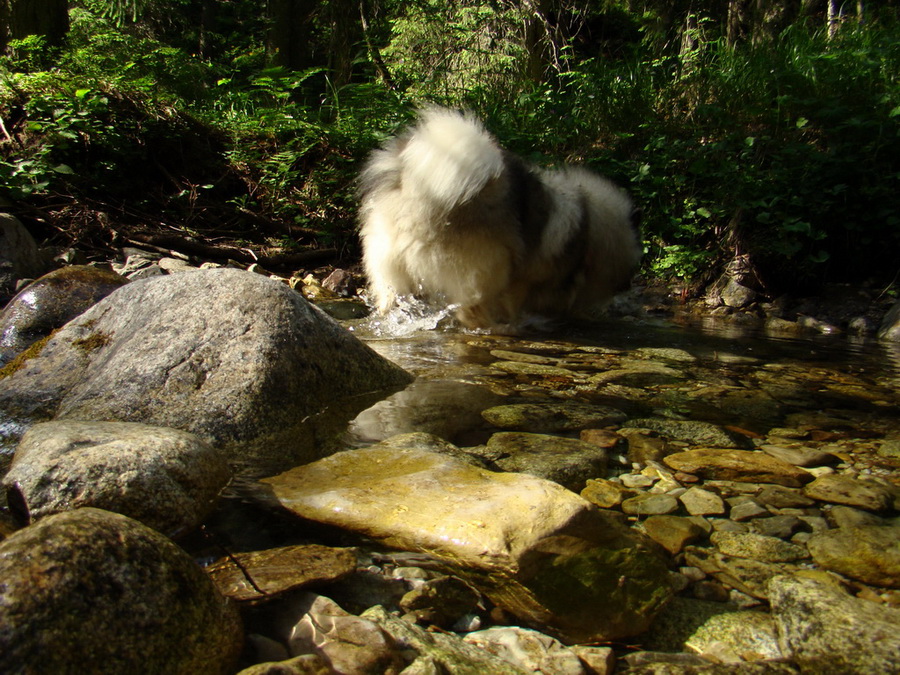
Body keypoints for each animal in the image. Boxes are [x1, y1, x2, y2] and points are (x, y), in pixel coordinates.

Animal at [358, 107, 640, 330]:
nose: (627, 283)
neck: (591, 228)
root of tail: (417, 192)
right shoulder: (529, 281)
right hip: (486, 268)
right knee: (471, 311)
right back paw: (495, 329)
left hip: (390, 274)